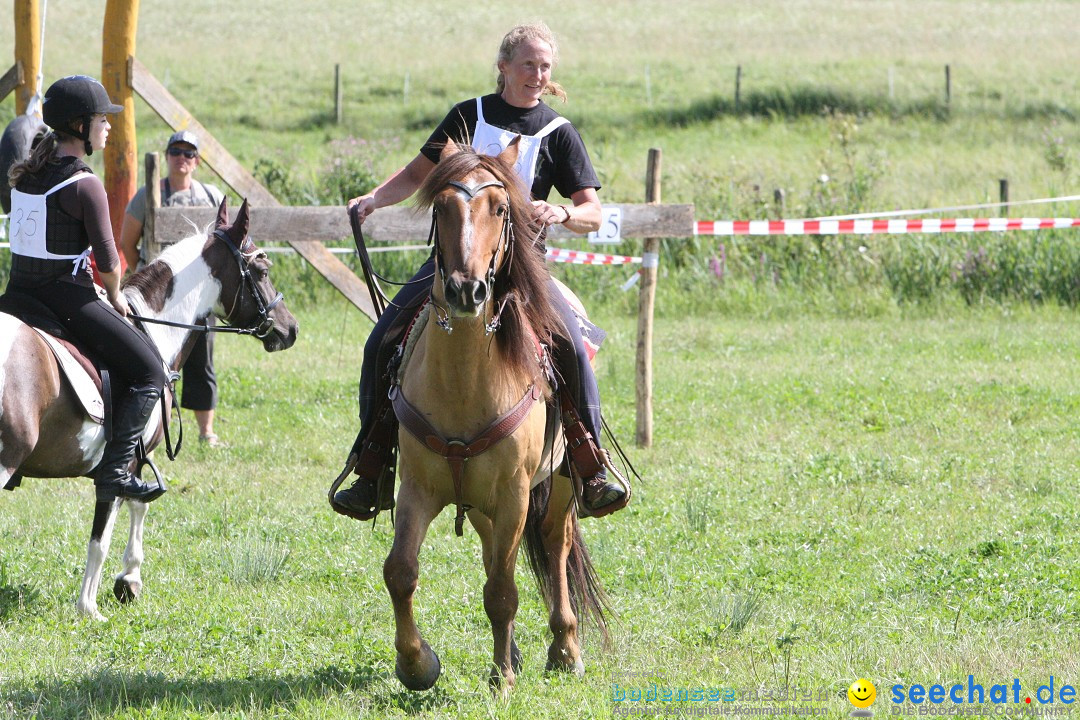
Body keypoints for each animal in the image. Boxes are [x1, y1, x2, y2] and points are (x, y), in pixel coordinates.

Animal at [0, 197, 298, 621]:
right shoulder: (121, 465)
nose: (290, 329)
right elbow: (103, 535)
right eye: (262, 270)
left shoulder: (134, 463)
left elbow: (137, 505)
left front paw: (129, 580)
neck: (153, 329)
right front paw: (91, 605)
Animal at [373, 139, 609, 690]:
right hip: (482, 504)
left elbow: (503, 591)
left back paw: (564, 649)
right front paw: (416, 664)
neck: (464, 383)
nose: (466, 290)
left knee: (556, 545)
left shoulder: (515, 493)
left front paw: (502, 681)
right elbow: (401, 572)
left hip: (559, 484)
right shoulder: (418, 487)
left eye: (501, 209)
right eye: (441, 207)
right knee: (489, 554)